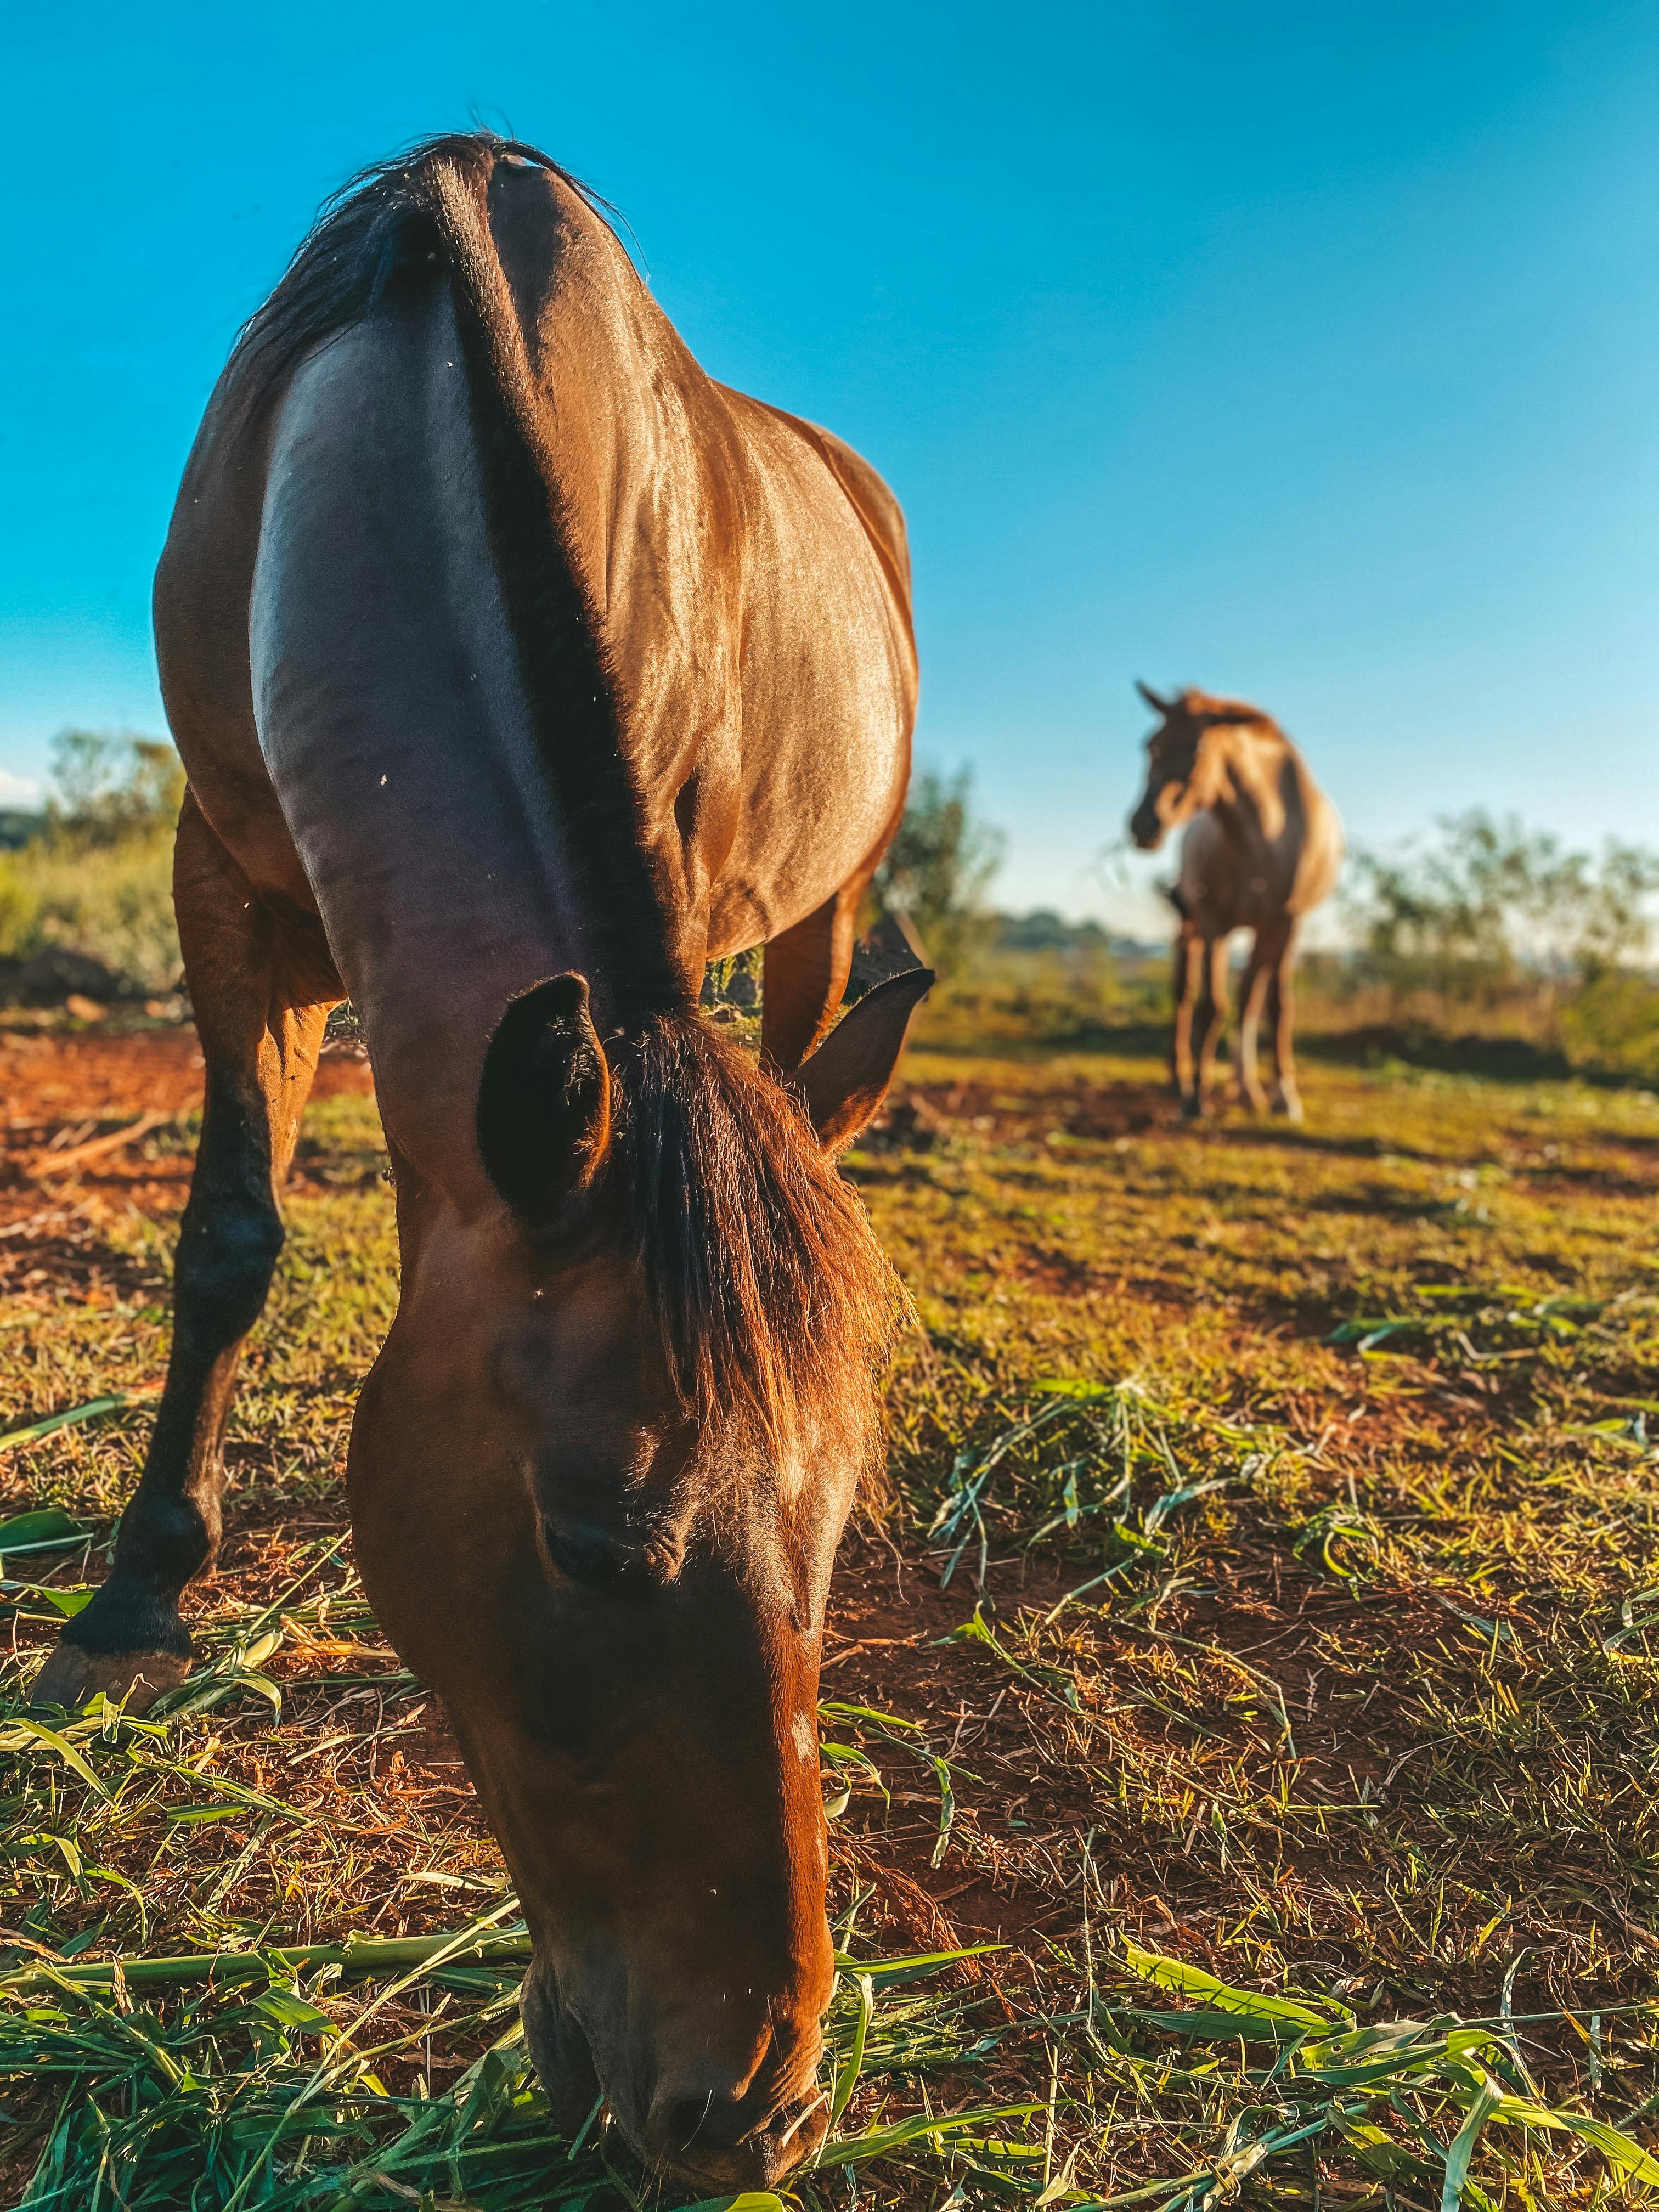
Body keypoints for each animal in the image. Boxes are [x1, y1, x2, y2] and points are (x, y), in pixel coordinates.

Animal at [32, 138, 929, 2194]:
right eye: (589, 1536)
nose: (748, 2111)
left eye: (843, 1528)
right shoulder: (230, 879)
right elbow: (228, 1239)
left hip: (826, 907)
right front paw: (137, 1590)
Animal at [1124, 676, 1345, 1124]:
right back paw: (1182, 1077)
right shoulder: (1214, 924)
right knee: (1185, 992)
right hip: (1192, 927)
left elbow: (1274, 1005)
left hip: (1262, 932)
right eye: (1150, 745)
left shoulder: (1285, 923)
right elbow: (1211, 1006)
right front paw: (1196, 1098)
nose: (1144, 825)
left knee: (1250, 998)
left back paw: (1246, 1088)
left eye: (1198, 748)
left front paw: (1282, 1094)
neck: (1264, 835)